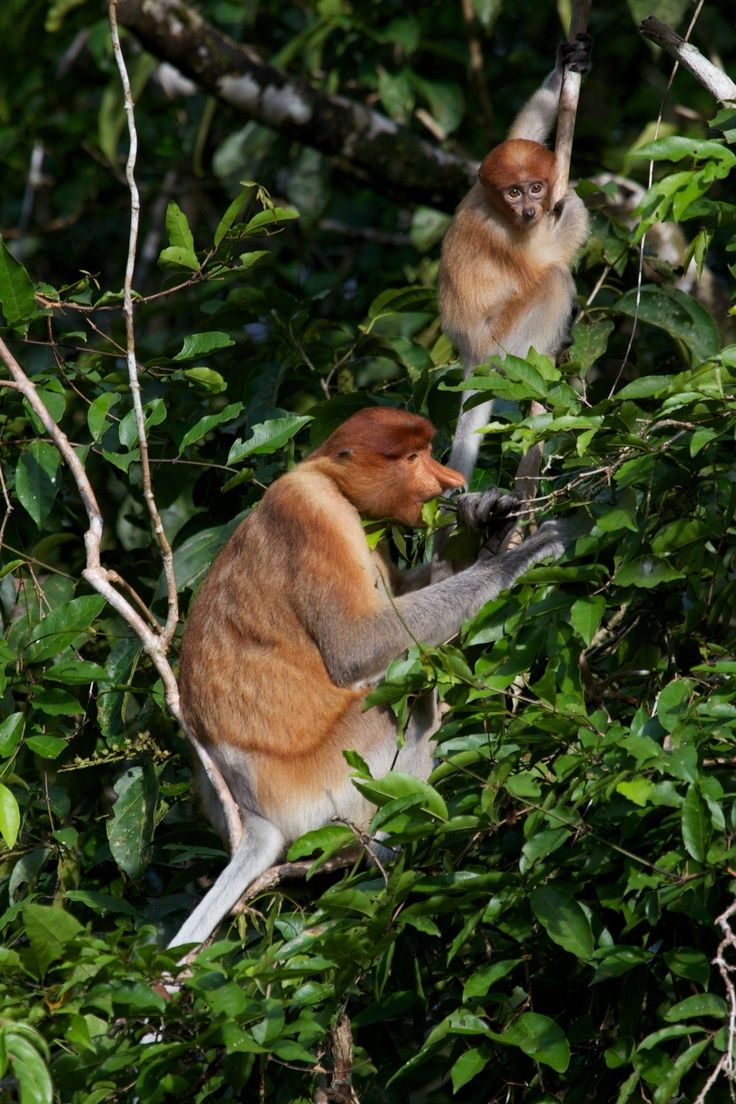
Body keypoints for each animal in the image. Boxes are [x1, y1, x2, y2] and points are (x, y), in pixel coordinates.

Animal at [168, 406, 571, 949]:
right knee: (412, 698)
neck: (329, 479)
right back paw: (389, 847)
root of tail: (251, 812)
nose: (450, 481)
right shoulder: (311, 514)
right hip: (323, 785)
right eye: (412, 457)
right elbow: (359, 647)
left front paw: (485, 515)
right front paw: (523, 553)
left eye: (427, 451)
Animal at [439, 36, 592, 483]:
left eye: (535, 187)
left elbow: (521, 133)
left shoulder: (476, 185)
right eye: (514, 192)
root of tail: (472, 356)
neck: (493, 205)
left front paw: (566, 64)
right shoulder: (500, 233)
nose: (529, 211)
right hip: (504, 348)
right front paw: (572, 202)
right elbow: (545, 259)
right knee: (555, 278)